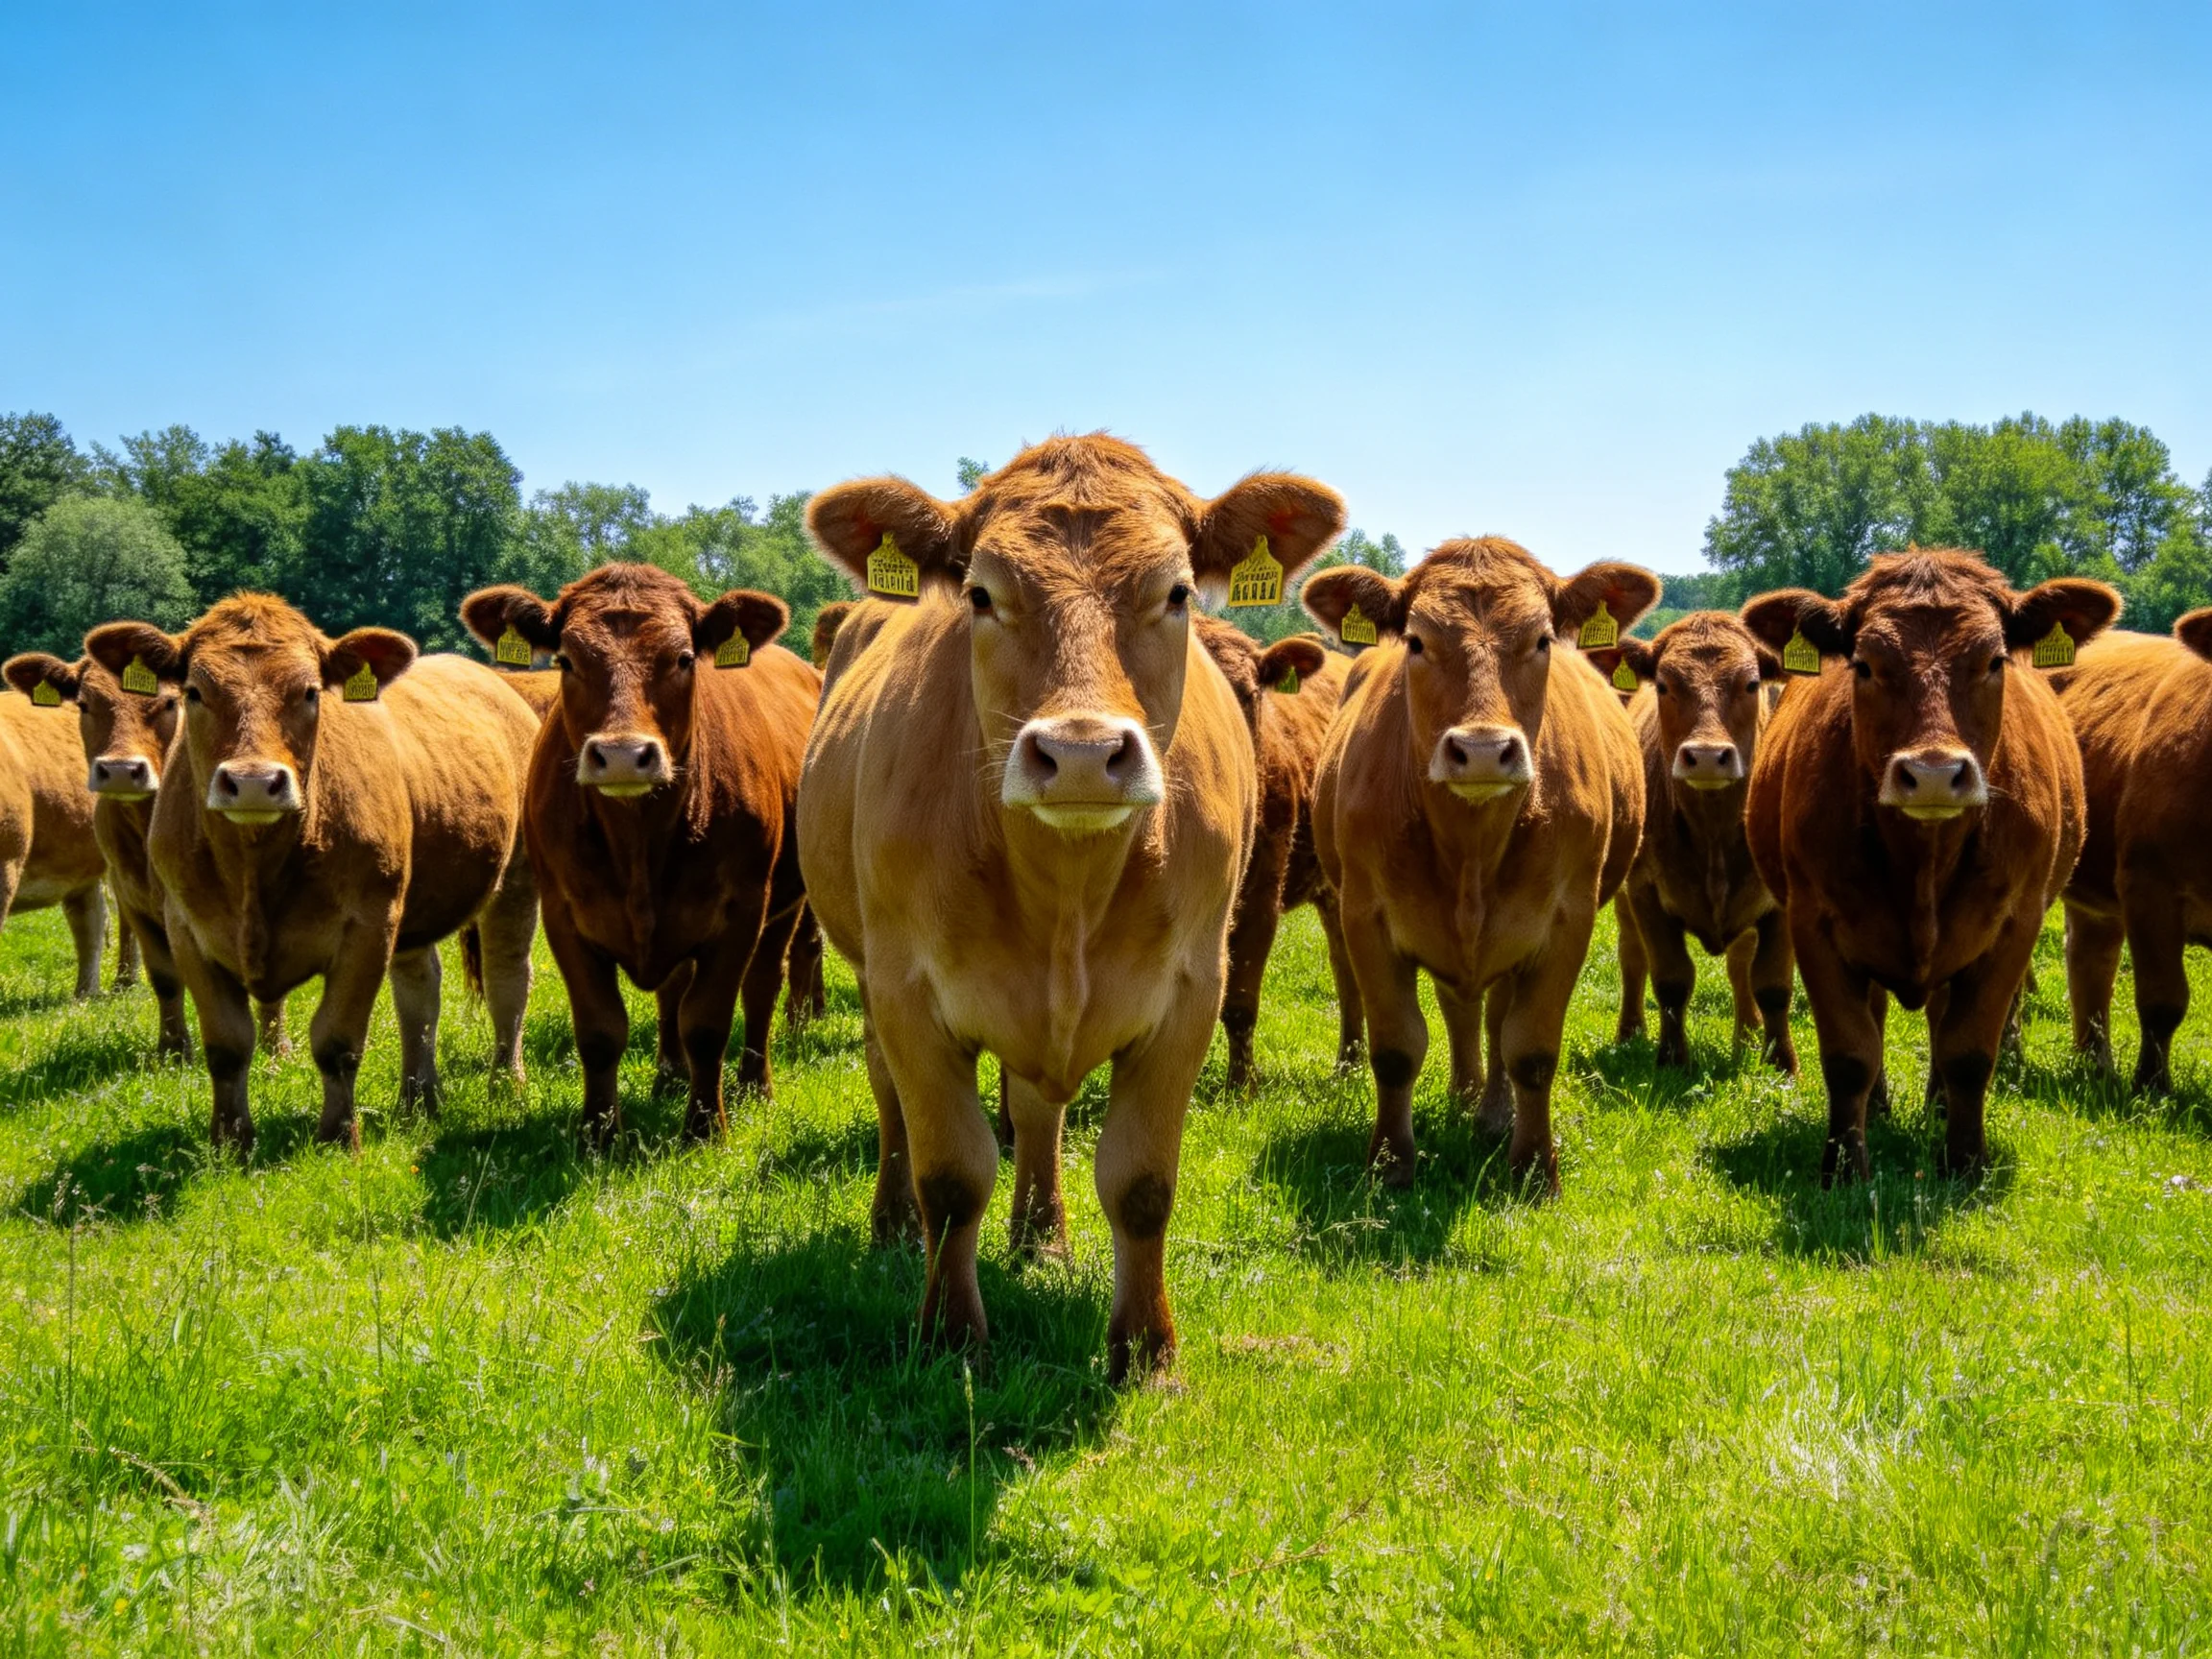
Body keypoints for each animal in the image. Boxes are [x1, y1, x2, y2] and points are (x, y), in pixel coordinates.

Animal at [83, 595, 541, 1153]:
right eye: (193, 692)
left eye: (309, 692)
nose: (253, 782)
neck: (255, 868)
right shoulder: (185, 927)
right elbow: (227, 1046)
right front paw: (230, 1142)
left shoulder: (368, 926)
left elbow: (337, 1040)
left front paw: (339, 1136)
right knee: (419, 990)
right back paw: (418, 1098)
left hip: (516, 879)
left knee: (506, 980)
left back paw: (506, 1083)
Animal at [459, 563, 819, 1145]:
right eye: (566, 659)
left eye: (684, 658)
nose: (625, 755)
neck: (639, 843)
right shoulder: (564, 914)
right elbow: (601, 1029)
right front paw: (600, 1133)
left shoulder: (742, 910)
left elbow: (708, 1022)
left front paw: (705, 1127)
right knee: (672, 990)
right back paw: (669, 1076)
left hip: (783, 905)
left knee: (762, 985)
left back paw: (752, 1085)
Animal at [1304, 537, 1654, 1193]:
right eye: (1417, 641)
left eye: (1542, 639)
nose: (1485, 750)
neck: (1470, 850)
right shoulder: (1366, 915)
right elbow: (1396, 1049)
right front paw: (1390, 1165)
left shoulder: (1567, 920)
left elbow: (1531, 1049)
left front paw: (1534, 1166)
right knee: (1462, 1009)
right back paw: (1467, 1097)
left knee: (1494, 1019)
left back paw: (1493, 1114)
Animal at [1598, 610, 1795, 1074]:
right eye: (1664, 685)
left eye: (1751, 684)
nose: (1706, 756)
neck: (1714, 832)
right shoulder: (1646, 891)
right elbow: (1670, 979)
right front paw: (1671, 1059)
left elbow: (1772, 982)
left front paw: (1781, 1063)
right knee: (1631, 955)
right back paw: (1629, 1032)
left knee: (1741, 963)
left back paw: (1748, 1032)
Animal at [1741, 550, 2118, 1181]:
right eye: (1864, 665)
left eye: (1994, 661)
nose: (1935, 773)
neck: (1923, 861)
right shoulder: (1814, 922)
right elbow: (1850, 1052)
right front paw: (1844, 1167)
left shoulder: (2014, 923)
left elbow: (1969, 1051)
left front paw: (1964, 1161)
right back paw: (1882, 1107)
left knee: (1944, 1022)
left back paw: (1939, 1107)